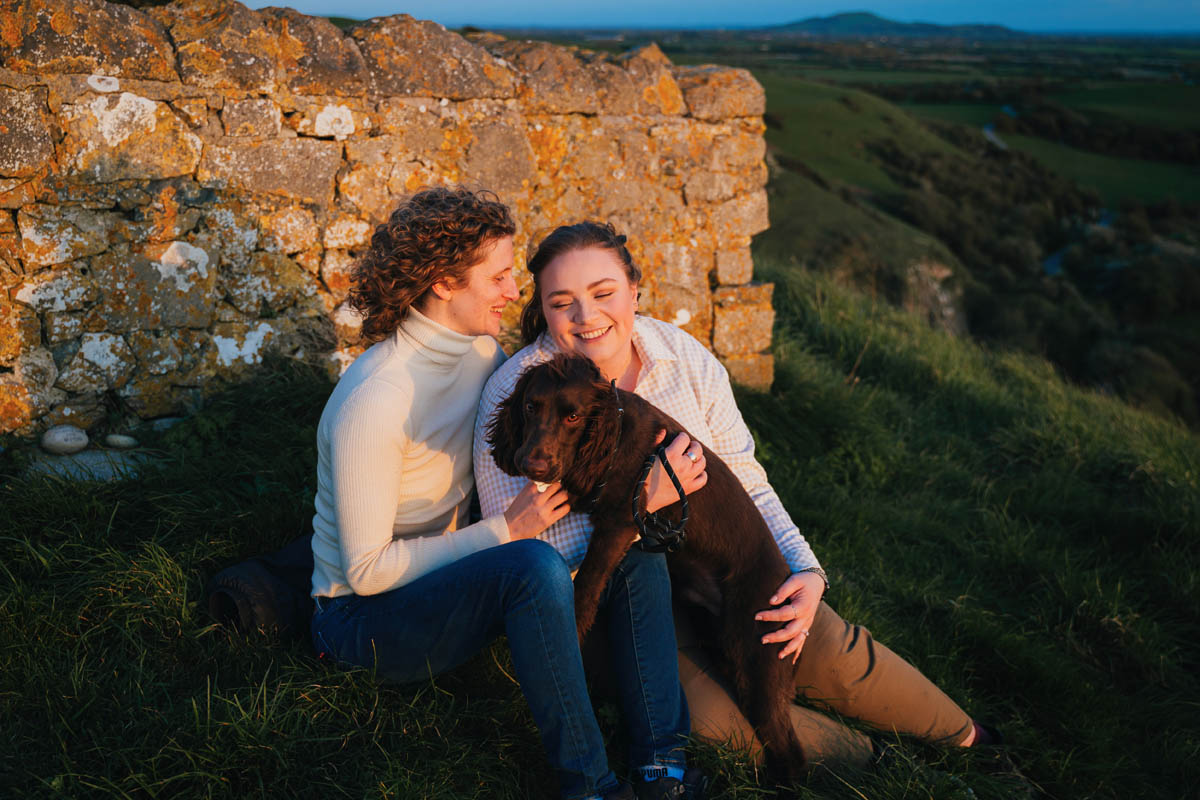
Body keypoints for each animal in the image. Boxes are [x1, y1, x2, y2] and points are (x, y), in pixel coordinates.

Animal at [484, 355, 806, 782]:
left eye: (573, 416)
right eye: (530, 406)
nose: (532, 465)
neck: (611, 432)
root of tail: (783, 576)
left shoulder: (618, 523)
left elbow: (585, 588)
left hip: (756, 657)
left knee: (790, 751)